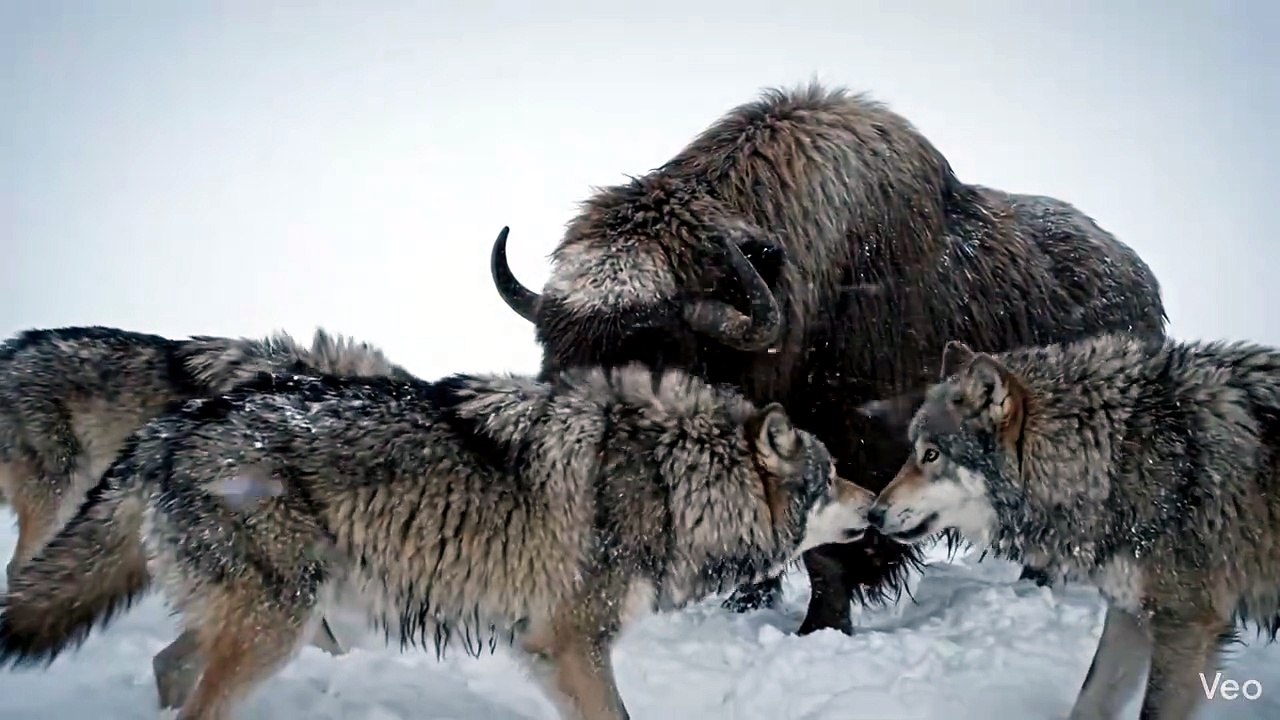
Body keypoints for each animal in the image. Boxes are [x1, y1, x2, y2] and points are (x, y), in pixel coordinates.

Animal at [0, 364, 873, 720]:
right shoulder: (570, 645)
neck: (670, 477)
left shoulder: (553, 651)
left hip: (270, 619)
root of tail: (171, 427)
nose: (877, 505)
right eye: (833, 474)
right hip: (276, 625)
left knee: (166, 665)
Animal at [865, 336, 1280, 719]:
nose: (872, 514)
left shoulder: (1186, 625)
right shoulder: (1128, 614)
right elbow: (1089, 699)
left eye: (931, 455)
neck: (1118, 456)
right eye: (913, 451)